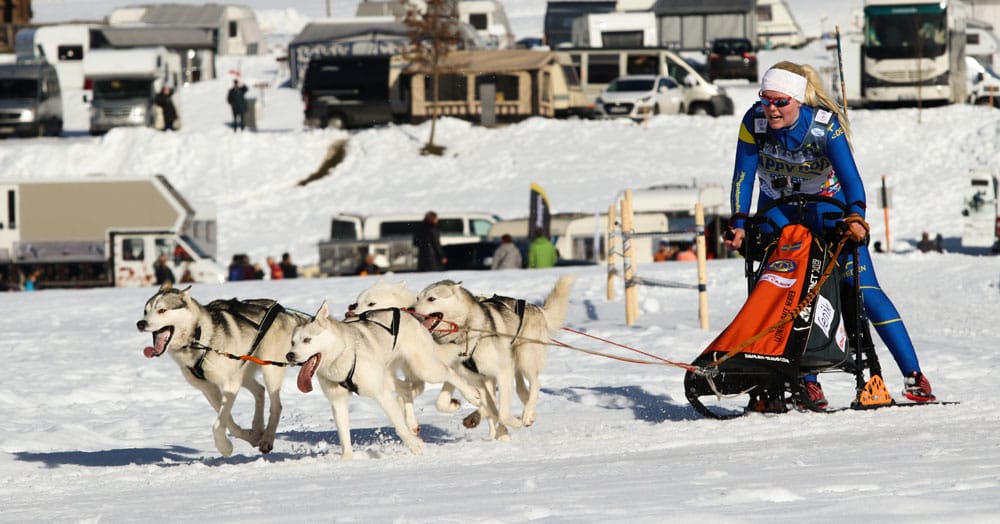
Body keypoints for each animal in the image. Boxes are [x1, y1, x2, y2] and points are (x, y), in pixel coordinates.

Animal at [135, 284, 308, 456]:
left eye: (162, 310)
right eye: (145, 311)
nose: (140, 323)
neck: (199, 338)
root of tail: (284, 311)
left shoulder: (230, 384)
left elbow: (219, 423)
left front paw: (225, 447)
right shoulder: (208, 388)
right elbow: (227, 421)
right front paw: (248, 437)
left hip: (269, 369)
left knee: (276, 405)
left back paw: (267, 439)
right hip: (243, 371)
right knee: (260, 390)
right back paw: (258, 427)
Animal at [288, 300, 482, 460]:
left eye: (307, 340)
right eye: (292, 342)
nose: (289, 355)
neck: (342, 356)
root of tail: (409, 316)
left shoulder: (381, 394)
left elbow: (398, 425)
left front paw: (414, 445)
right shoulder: (338, 402)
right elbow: (344, 436)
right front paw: (347, 459)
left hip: (425, 369)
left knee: (450, 373)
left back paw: (471, 395)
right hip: (388, 377)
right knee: (406, 389)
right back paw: (412, 423)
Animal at [412, 276, 576, 440]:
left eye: (432, 298)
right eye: (418, 298)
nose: (412, 311)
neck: (467, 331)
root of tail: (536, 308)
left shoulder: (503, 373)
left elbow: (502, 413)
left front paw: (516, 422)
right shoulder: (476, 378)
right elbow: (485, 407)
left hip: (525, 359)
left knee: (536, 384)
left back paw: (527, 415)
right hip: (506, 369)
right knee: (520, 391)